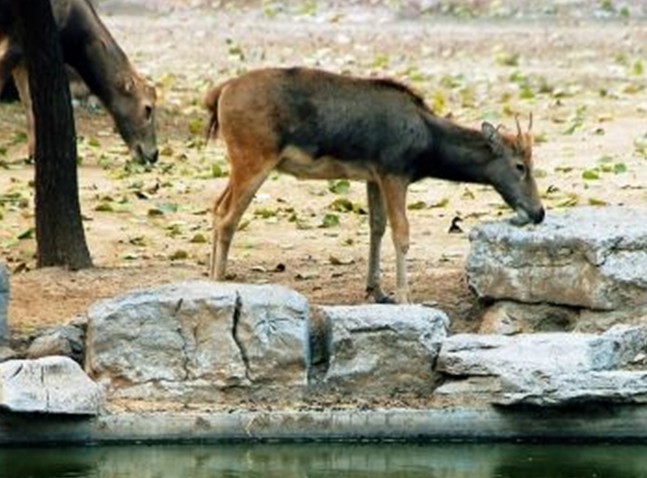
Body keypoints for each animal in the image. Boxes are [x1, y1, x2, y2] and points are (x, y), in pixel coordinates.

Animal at [0, 0, 158, 164]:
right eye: (148, 108)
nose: (154, 154)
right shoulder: (15, 42)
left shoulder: (23, 58)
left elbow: (28, 102)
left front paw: (32, 155)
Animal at [204, 67, 545, 304]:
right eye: (520, 166)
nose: (538, 212)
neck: (428, 146)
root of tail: (219, 94)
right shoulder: (394, 171)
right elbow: (401, 233)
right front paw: (405, 297)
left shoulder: (373, 175)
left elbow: (377, 227)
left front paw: (377, 291)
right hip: (255, 155)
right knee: (228, 217)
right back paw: (219, 282)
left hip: (242, 160)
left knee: (216, 207)